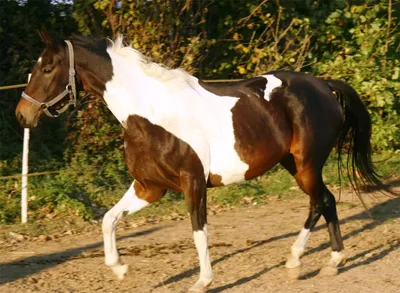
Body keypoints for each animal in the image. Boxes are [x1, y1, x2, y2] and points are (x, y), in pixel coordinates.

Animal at [14, 30, 384, 290]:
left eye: (48, 68)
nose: (22, 115)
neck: (150, 114)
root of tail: (323, 85)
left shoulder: (193, 182)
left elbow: (198, 231)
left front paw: (203, 282)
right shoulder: (148, 187)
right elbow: (108, 219)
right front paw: (119, 269)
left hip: (307, 164)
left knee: (319, 202)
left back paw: (296, 261)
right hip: (294, 164)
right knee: (328, 200)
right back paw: (332, 262)